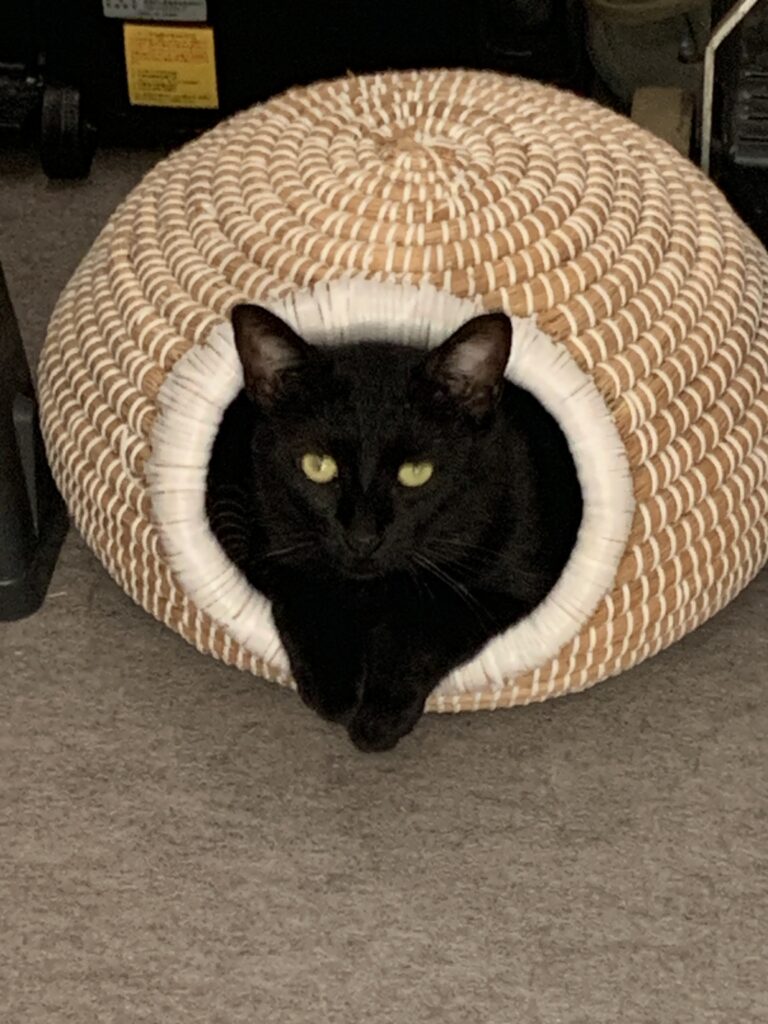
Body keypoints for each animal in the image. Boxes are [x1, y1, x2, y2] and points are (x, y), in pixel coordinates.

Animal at [206, 304, 582, 752]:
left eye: (416, 473)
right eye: (318, 466)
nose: (362, 536)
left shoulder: (504, 584)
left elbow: (421, 629)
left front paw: (380, 716)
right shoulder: (272, 545)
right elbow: (308, 594)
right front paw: (334, 688)